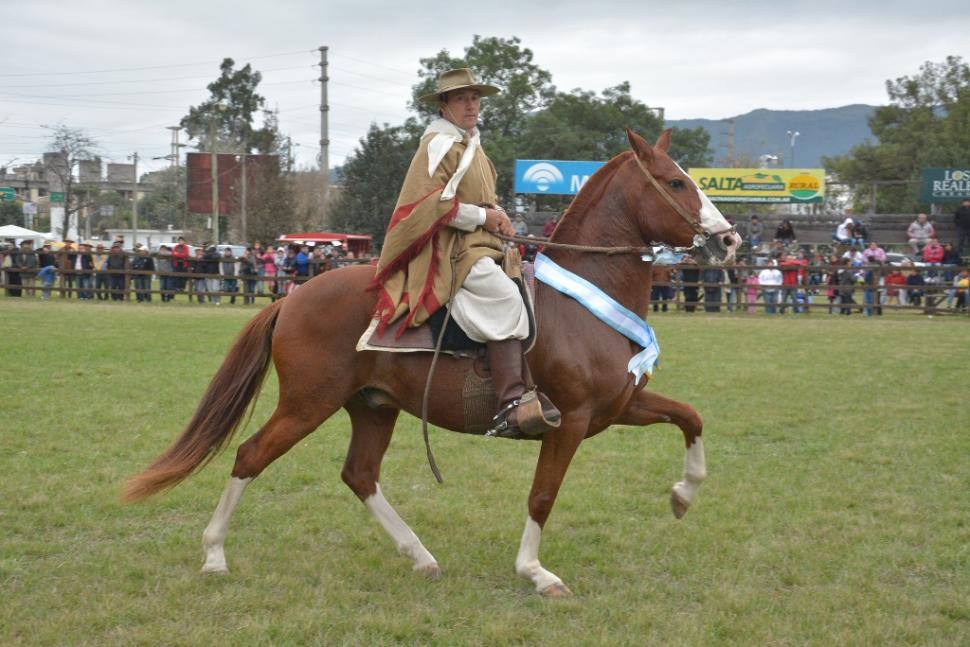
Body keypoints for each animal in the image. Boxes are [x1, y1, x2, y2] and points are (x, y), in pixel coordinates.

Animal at [125, 129, 736, 600]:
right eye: (677, 182)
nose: (729, 241)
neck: (583, 300)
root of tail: (292, 298)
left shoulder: (622, 405)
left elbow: (691, 417)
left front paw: (683, 495)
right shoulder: (571, 421)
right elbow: (542, 497)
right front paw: (536, 573)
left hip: (372, 407)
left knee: (359, 474)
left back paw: (419, 555)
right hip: (307, 404)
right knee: (251, 456)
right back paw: (214, 556)